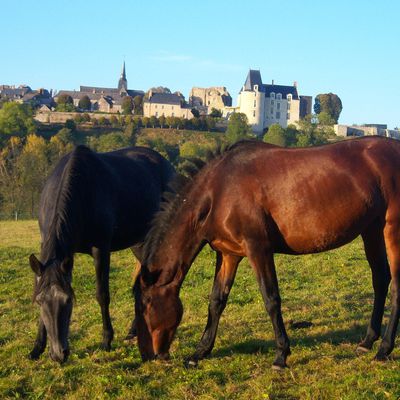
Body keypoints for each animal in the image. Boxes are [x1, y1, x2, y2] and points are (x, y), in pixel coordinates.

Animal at [28, 145, 175, 362]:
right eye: (39, 302)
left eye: (68, 300)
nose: (59, 354)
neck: (82, 191)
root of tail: (166, 164)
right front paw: (37, 347)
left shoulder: (101, 250)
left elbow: (102, 294)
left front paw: (106, 340)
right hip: (138, 243)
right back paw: (133, 331)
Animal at [135, 138, 400, 368]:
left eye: (145, 305)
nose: (148, 355)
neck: (219, 189)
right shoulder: (228, 254)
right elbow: (216, 301)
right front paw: (199, 352)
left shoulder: (258, 249)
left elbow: (271, 298)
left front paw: (281, 354)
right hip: (371, 229)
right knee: (380, 280)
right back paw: (367, 341)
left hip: (391, 229)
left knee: (396, 285)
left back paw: (384, 349)